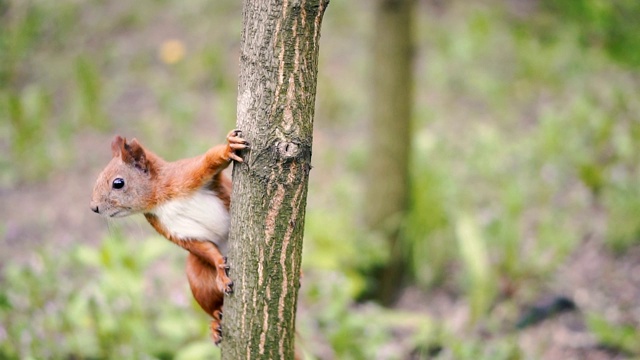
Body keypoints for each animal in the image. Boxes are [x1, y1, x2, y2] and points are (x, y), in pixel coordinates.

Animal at [90, 129, 250, 344]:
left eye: (118, 183)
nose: (94, 207)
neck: (160, 201)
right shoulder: (173, 230)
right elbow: (203, 248)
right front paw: (219, 268)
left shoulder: (186, 174)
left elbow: (210, 159)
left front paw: (229, 147)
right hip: (197, 277)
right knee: (215, 307)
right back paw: (216, 323)